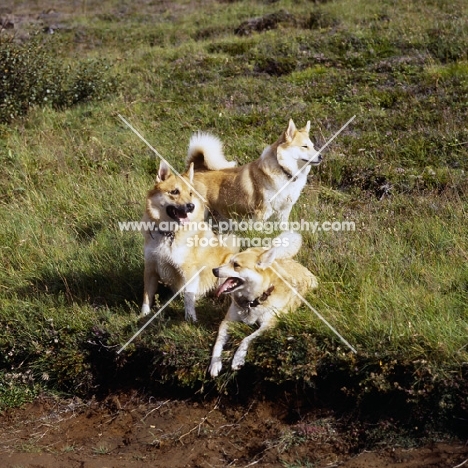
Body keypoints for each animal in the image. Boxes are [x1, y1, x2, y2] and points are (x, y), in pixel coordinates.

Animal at [141, 161, 238, 322]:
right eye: (174, 192)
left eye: (191, 193)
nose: (191, 206)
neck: (169, 233)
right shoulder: (150, 268)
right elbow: (147, 296)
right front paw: (143, 315)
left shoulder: (188, 271)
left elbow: (188, 297)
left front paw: (190, 318)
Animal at [186, 119, 322, 224]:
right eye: (304, 146)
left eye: (313, 146)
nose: (321, 157)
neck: (283, 170)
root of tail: (196, 168)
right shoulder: (261, 212)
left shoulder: (284, 212)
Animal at [208, 232, 318, 378]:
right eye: (229, 261)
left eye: (236, 265)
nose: (214, 270)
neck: (253, 301)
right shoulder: (227, 322)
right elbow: (218, 343)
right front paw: (215, 363)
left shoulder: (269, 324)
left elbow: (246, 339)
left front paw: (238, 359)